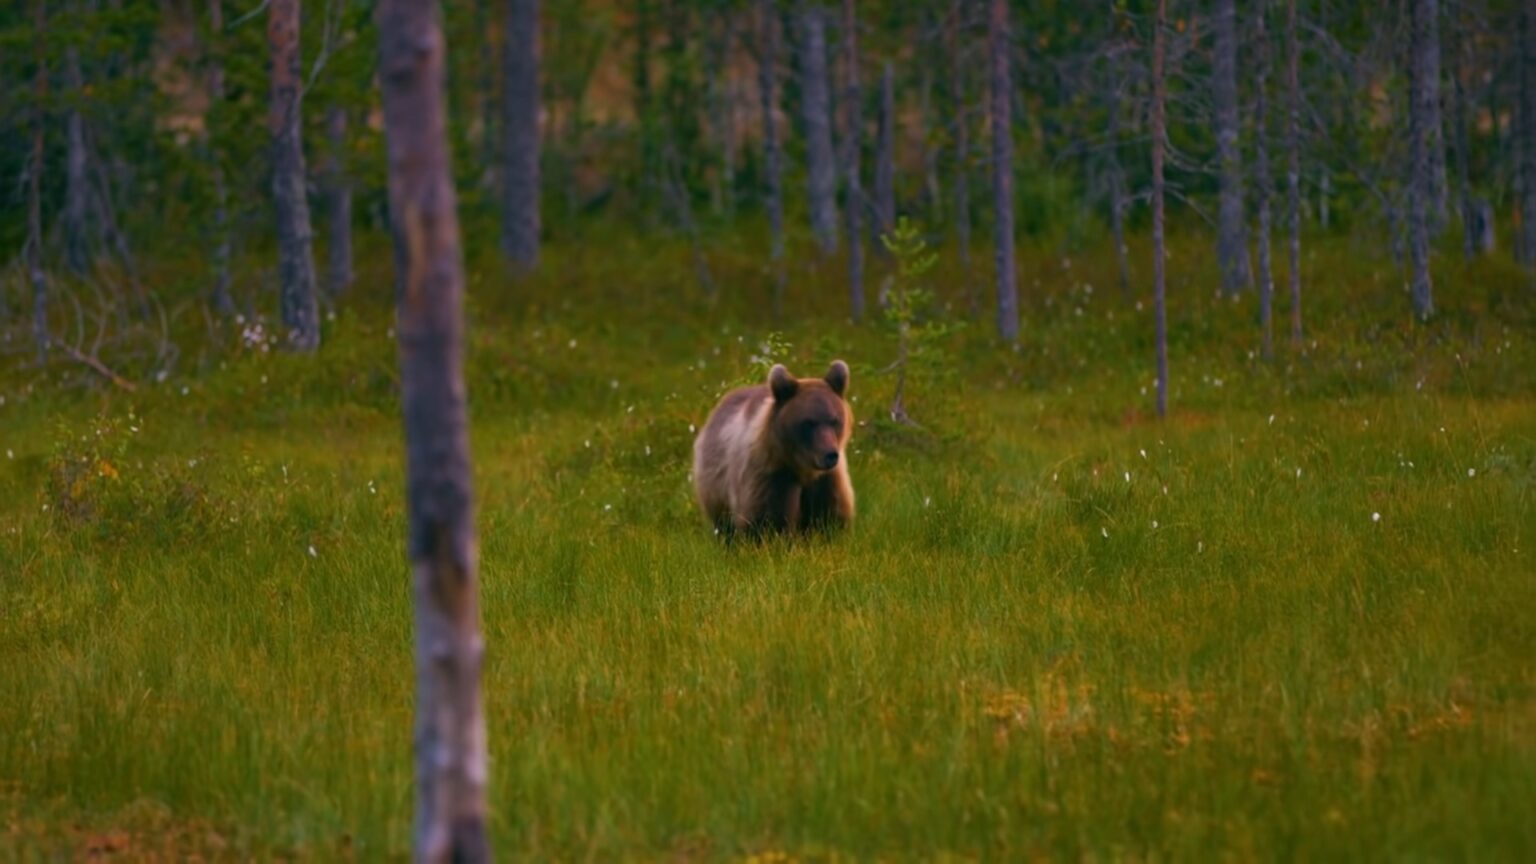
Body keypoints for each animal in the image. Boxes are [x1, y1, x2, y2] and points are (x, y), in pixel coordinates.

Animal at [692, 360, 856, 537]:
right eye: (808, 423)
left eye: (835, 421)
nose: (830, 455)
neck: (801, 468)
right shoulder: (770, 474)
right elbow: (767, 520)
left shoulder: (828, 479)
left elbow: (829, 516)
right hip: (715, 484)